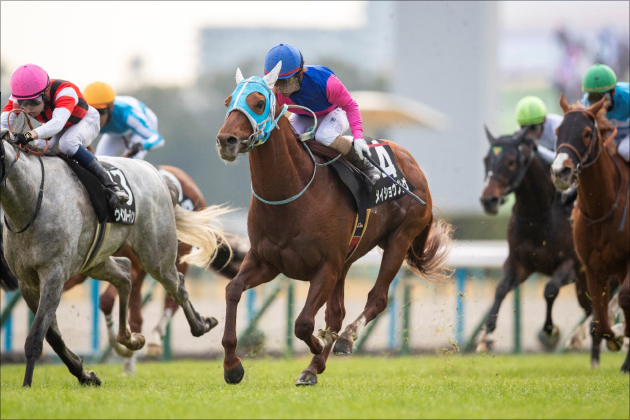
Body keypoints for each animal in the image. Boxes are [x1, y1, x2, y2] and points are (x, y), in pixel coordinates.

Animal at [63, 166, 248, 372]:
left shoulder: (132, 268)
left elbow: (106, 300)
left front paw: (125, 348)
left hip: (175, 256)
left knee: (174, 295)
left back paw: (156, 339)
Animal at [217, 66, 454, 388]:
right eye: (229, 101)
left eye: (258, 102)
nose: (225, 140)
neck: (292, 194)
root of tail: (413, 164)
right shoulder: (265, 261)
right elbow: (233, 289)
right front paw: (232, 365)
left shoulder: (325, 267)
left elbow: (304, 323)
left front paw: (318, 347)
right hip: (348, 259)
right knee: (337, 313)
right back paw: (315, 364)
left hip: (399, 239)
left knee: (376, 299)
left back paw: (343, 340)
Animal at [482, 126, 600, 362]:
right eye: (486, 160)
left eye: (510, 161)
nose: (488, 200)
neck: (539, 213)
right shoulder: (520, 263)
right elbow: (500, 288)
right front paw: (487, 336)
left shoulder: (570, 265)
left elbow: (550, 289)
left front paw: (550, 331)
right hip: (583, 286)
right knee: (591, 307)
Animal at [552, 97, 630, 372]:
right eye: (557, 131)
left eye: (586, 133)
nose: (560, 171)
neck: (603, 209)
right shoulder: (593, 268)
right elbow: (601, 320)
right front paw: (616, 338)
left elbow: (624, 299)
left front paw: (622, 333)